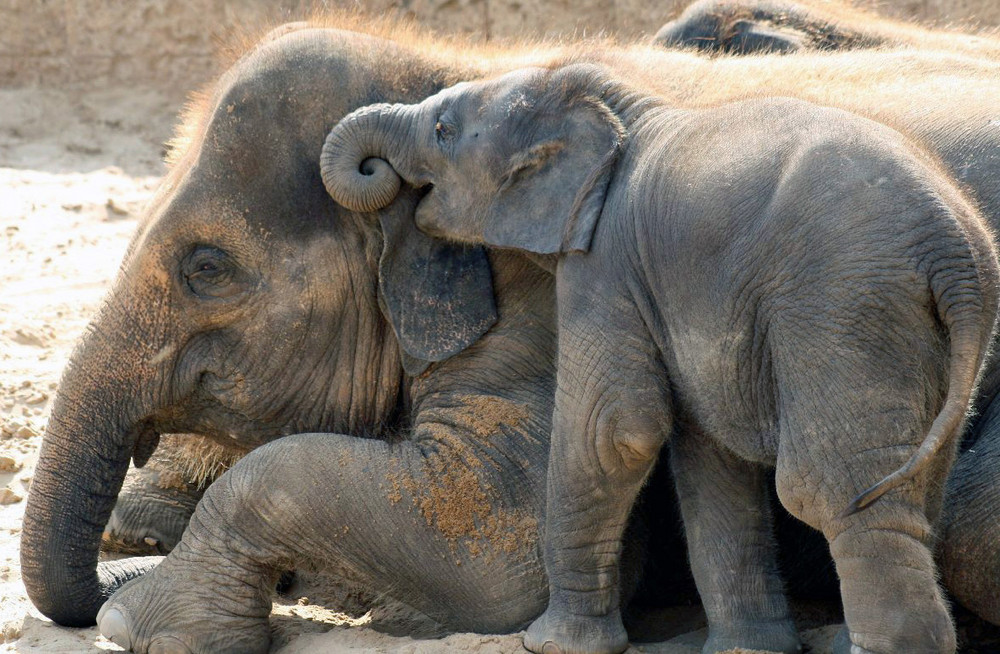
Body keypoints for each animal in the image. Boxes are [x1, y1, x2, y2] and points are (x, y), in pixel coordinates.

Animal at [17, 15, 1000, 654]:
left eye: (207, 268)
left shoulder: (553, 295)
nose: (112, 576)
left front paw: (140, 621)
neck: (459, 64)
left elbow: (493, 532)